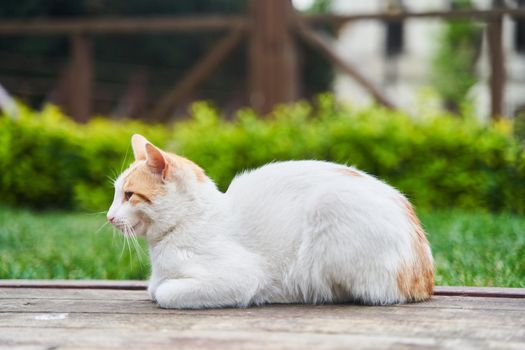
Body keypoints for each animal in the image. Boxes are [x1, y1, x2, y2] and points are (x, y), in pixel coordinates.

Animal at [107, 134, 434, 308]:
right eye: (115, 193)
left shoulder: (241, 277)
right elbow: (153, 287)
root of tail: (425, 277)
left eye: (129, 195)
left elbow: (163, 292)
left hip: (329, 207)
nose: (109, 216)